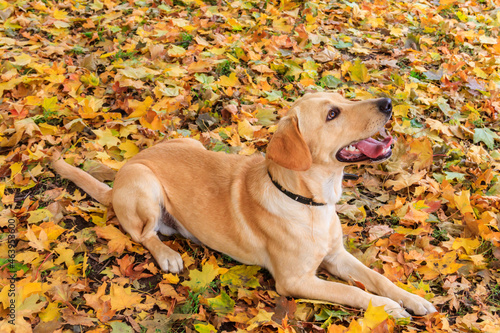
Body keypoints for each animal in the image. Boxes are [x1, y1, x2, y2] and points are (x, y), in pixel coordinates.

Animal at [52, 91, 438, 316]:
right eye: (332, 114)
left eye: (345, 97)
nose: (388, 104)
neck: (310, 202)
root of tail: (118, 178)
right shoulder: (295, 281)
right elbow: (352, 293)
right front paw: (388, 308)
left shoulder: (337, 256)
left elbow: (377, 278)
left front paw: (411, 298)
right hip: (144, 183)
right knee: (144, 234)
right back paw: (167, 254)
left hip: (190, 142)